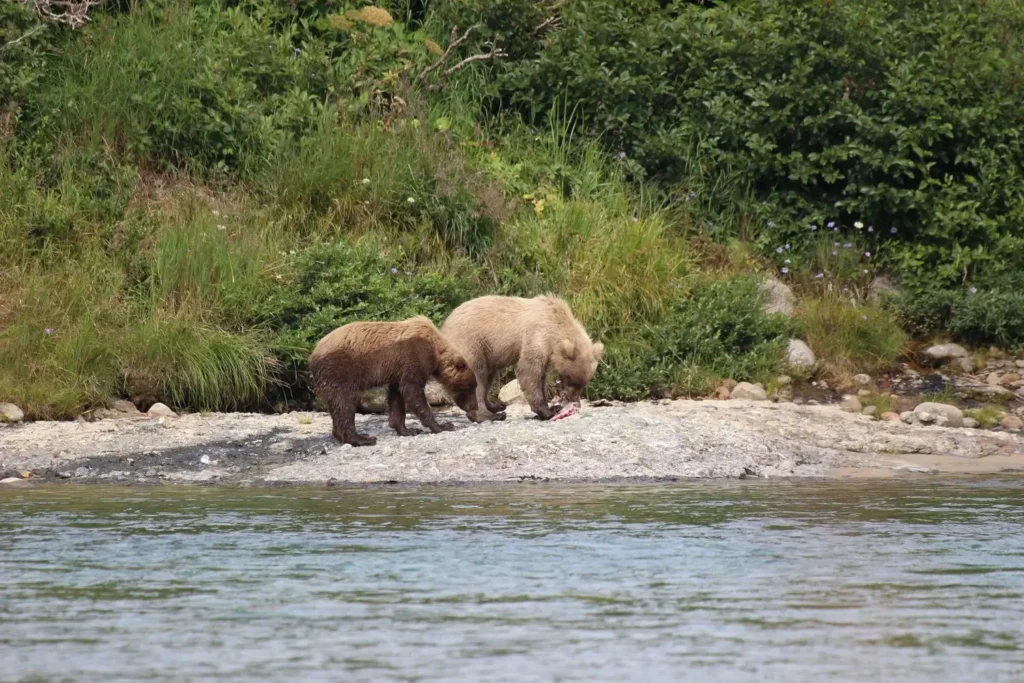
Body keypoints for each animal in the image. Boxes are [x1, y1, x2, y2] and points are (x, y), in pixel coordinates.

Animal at [308, 316, 493, 447]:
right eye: (471, 386)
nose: (474, 406)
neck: (435, 349)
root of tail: (313, 355)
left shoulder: (398, 370)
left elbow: (397, 397)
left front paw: (407, 429)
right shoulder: (413, 357)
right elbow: (414, 392)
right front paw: (443, 425)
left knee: (336, 405)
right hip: (341, 369)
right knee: (345, 402)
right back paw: (362, 438)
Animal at [441, 295, 604, 420]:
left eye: (584, 383)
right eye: (571, 379)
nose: (576, 402)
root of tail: (445, 326)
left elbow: (541, 376)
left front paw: (551, 406)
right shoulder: (536, 337)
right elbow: (529, 372)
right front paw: (548, 410)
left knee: (487, 377)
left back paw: (495, 406)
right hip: (471, 344)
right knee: (477, 378)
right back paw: (489, 415)